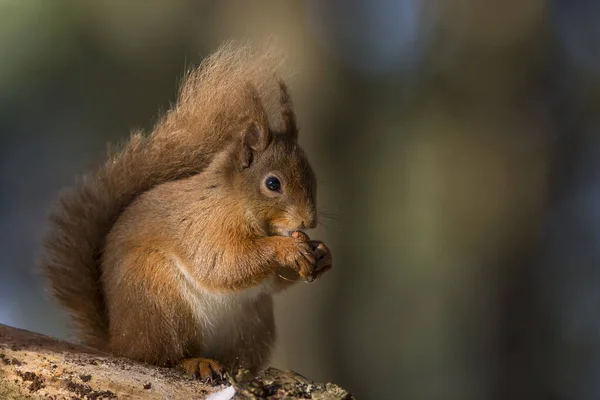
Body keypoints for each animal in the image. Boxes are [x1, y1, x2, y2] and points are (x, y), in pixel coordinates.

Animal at [41, 41, 332, 382]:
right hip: (160, 300)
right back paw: (195, 362)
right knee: (161, 357)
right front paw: (286, 248)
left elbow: (272, 282)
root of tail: (120, 341)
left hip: (253, 324)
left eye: (312, 175)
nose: (308, 220)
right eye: (273, 183)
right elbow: (223, 264)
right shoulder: (204, 225)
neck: (237, 201)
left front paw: (322, 253)